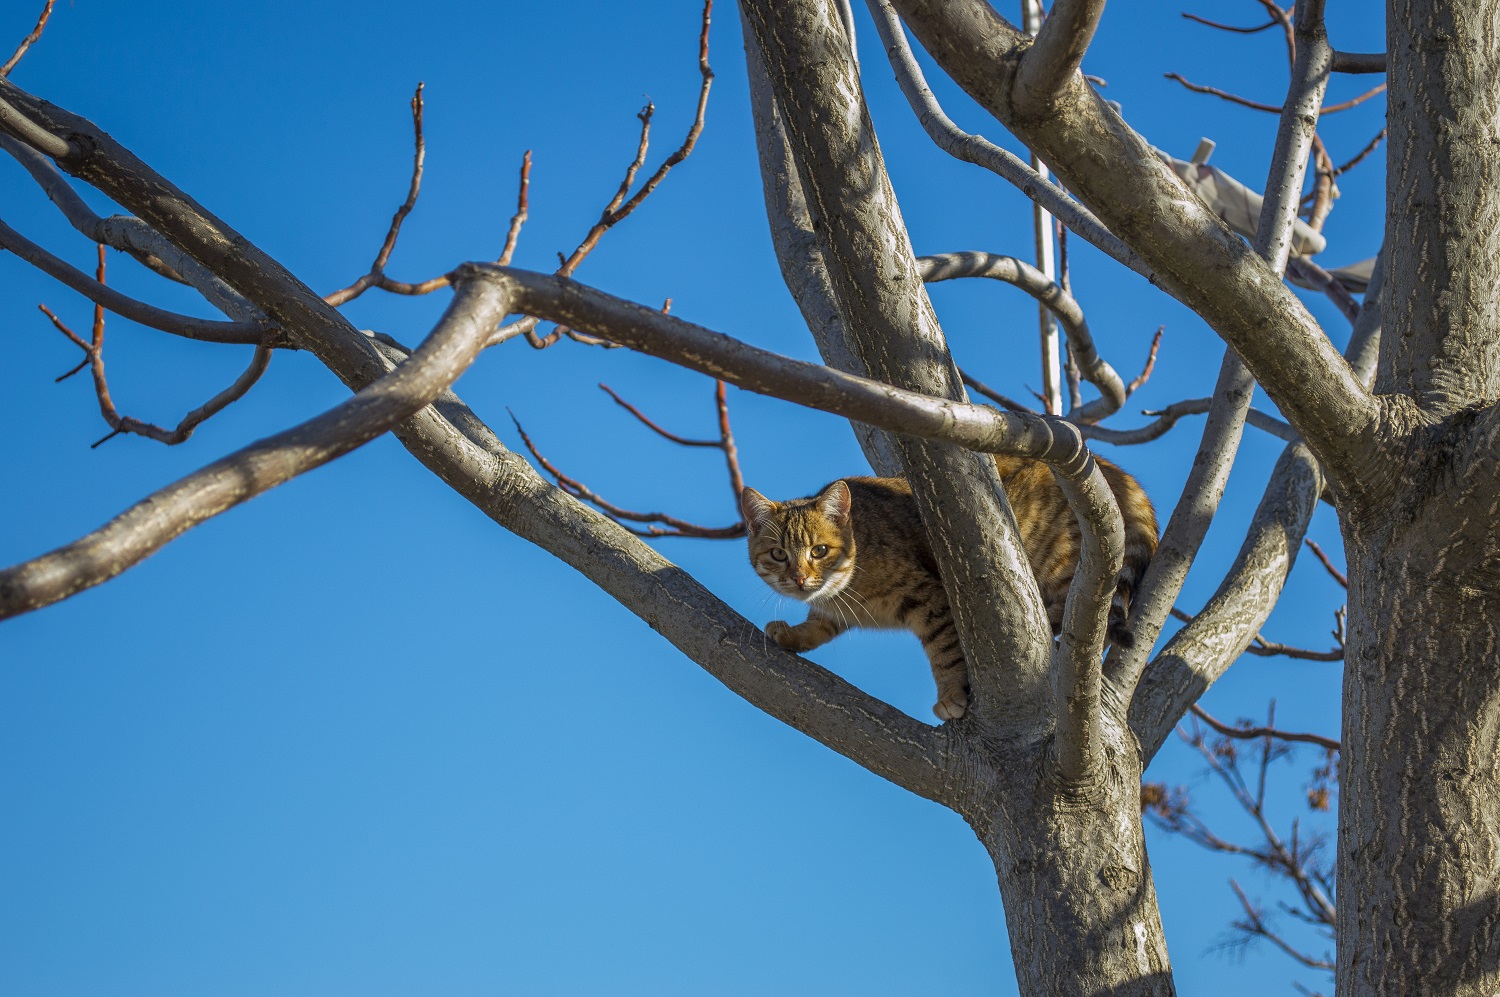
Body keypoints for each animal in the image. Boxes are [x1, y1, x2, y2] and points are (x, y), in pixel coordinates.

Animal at [741, 455, 1158, 719]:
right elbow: (818, 626)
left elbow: (944, 652)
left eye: (819, 550)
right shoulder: (834, 611)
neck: (847, 589)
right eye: (778, 554)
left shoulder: (931, 598)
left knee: (1088, 617)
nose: (798, 578)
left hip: (1061, 561)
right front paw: (792, 634)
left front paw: (951, 695)